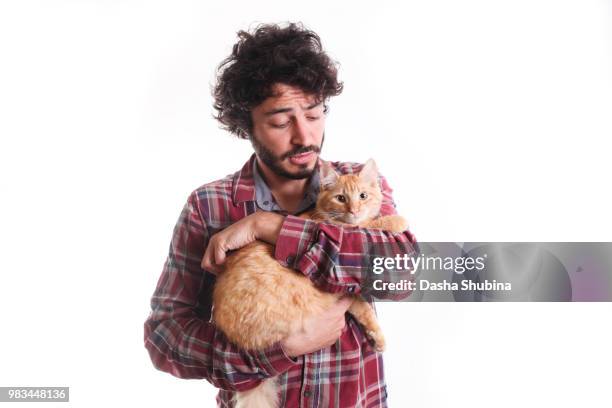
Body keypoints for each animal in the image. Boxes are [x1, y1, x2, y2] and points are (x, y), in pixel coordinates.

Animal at [213, 159, 408, 408]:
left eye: (363, 196)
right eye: (341, 198)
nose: (354, 210)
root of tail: (242, 340)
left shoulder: (347, 293)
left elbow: (364, 310)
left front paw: (377, 337)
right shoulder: (342, 239)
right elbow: (369, 227)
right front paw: (395, 221)